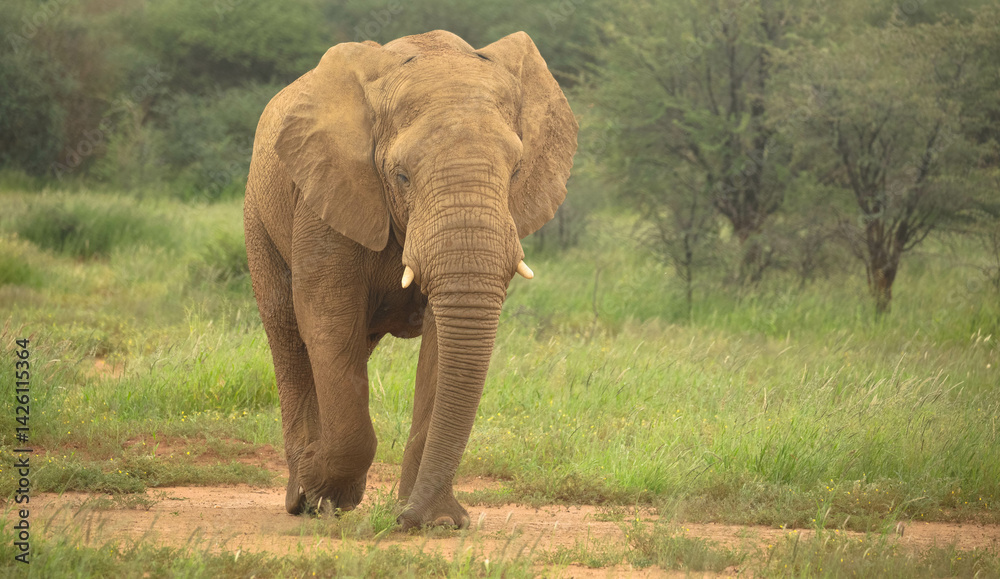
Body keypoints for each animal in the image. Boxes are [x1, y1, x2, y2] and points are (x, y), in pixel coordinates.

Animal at [243, 29, 577, 529]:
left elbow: (443, 346)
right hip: (259, 217)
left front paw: (434, 521)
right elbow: (327, 318)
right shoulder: (328, 194)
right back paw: (303, 496)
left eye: (516, 171)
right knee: (288, 332)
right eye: (401, 176)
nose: (406, 521)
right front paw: (324, 495)